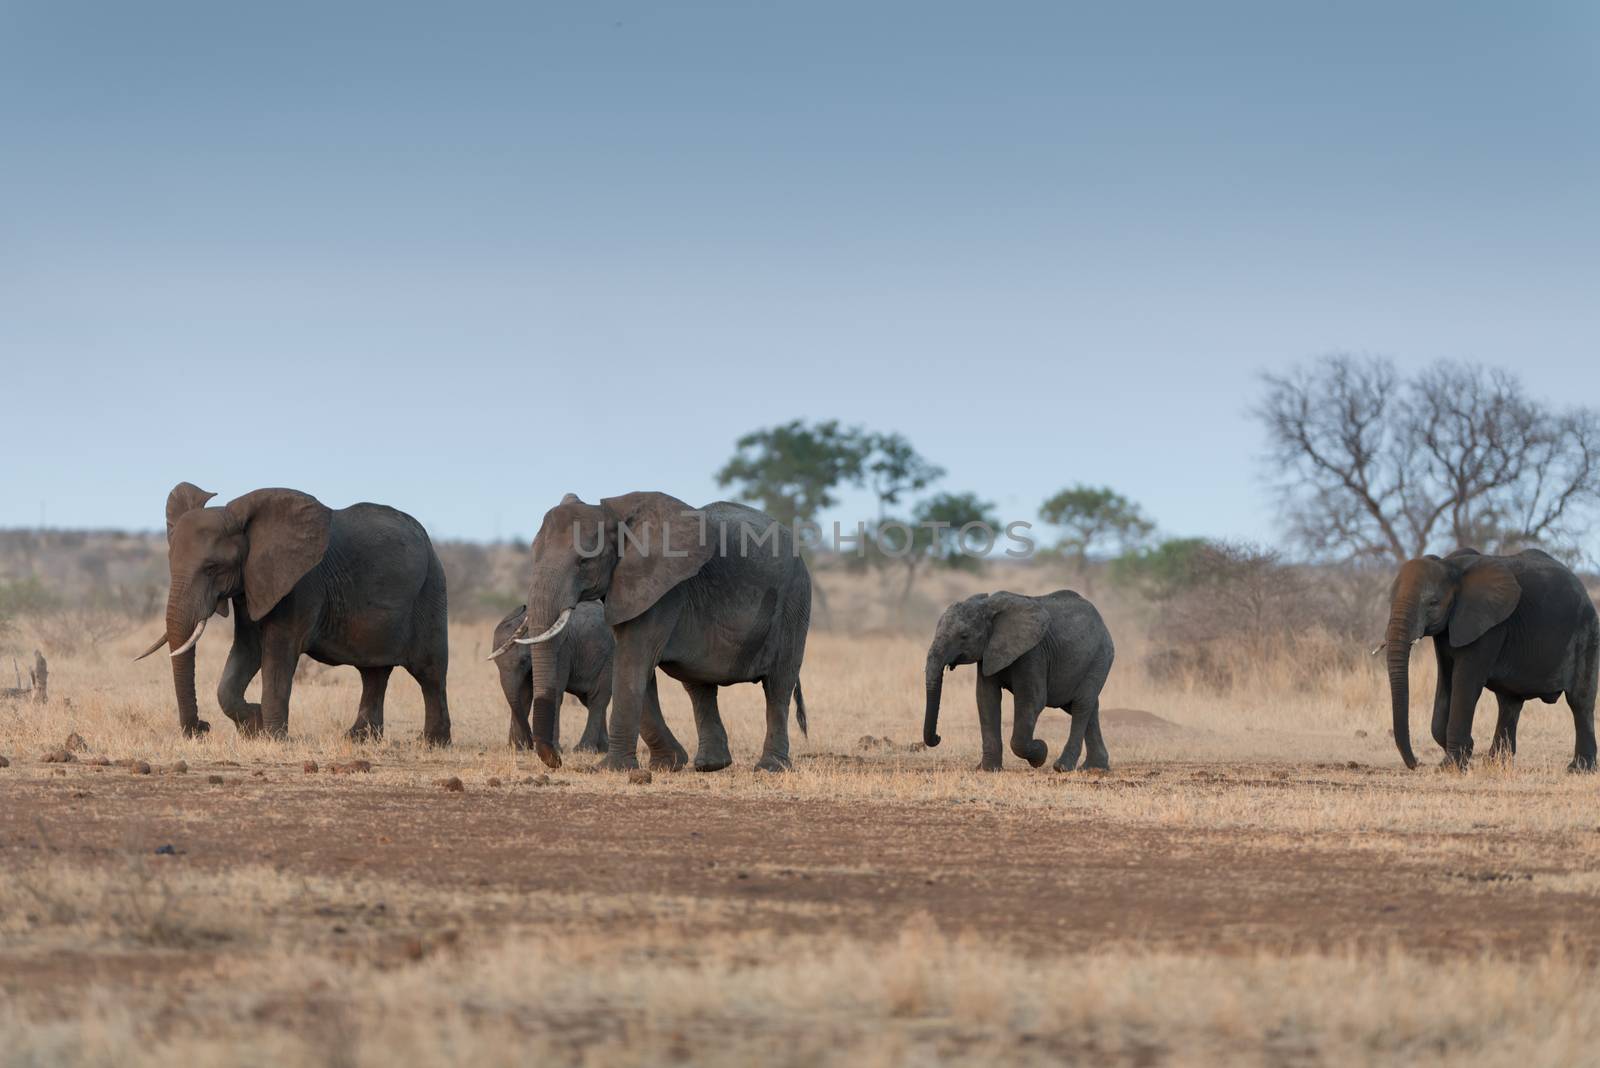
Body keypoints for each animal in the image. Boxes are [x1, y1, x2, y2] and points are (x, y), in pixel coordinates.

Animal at [136, 482, 451, 741]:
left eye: (213, 568)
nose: (202, 728)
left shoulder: (300, 583)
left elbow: (278, 652)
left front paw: (273, 737)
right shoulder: (251, 583)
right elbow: (247, 649)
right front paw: (254, 726)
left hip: (431, 589)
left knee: (430, 671)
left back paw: (433, 742)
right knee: (373, 671)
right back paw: (359, 739)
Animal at [483, 601, 608, 751]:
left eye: (523, 661)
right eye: (496, 663)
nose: (531, 743)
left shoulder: (561, 650)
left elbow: (553, 691)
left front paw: (553, 749)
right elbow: (524, 694)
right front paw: (518, 749)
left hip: (608, 657)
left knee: (597, 698)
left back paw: (584, 749)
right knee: (589, 701)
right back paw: (603, 748)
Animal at [505, 489, 812, 770]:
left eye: (585, 561)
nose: (557, 761)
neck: (615, 515)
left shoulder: (662, 589)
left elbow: (633, 661)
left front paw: (610, 768)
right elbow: (637, 668)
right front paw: (668, 763)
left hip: (794, 602)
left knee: (778, 685)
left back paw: (770, 767)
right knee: (698, 685)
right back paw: (710, 765)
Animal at [928, 588, 1113, 770]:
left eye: (964, 636)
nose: (938, 737)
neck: (987, 606)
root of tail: (1103, 623)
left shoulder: (1033, 652)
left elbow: (1032, 700)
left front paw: (1040, 753)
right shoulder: (988, 652)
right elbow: (986, 699)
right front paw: (988, 769)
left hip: (1099, 657)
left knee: (1081, 705)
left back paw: (1063, 767)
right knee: (1084, 706)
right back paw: (1094, 768)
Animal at [1382, 549, 1593, 767]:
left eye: (1433, 603)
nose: (1417, 763)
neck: (1450, 566)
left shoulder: (1489, 626)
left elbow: (1465, 681)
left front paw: (1452, 765)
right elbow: (1446, 679)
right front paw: (1457, 757)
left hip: (1586, 632)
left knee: (1580, 702)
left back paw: (1579, 768)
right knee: (1509, 703)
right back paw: (1496, 763)